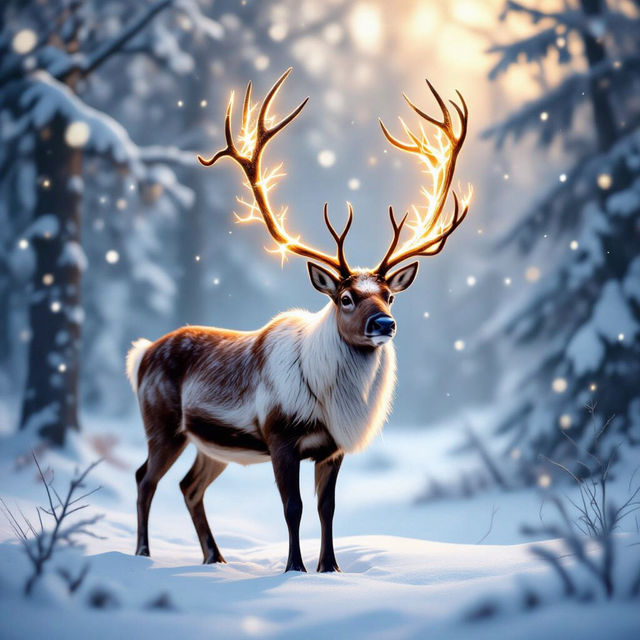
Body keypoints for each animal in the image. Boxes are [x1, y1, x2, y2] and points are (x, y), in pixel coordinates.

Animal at [126, 68, 469, 573]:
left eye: (389, 295)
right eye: (345, 297)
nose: (384, 325)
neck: (330, 401)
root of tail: (141, 354)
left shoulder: (332, 449)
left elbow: (327, 508)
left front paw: (331, 568)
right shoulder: (280, 436)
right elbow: (293, 507)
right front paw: (294, 568)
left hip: (211, 444)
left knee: (189, 486)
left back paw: (215, 558)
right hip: (163, 423)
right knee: (144, 478)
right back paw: (143, 554)